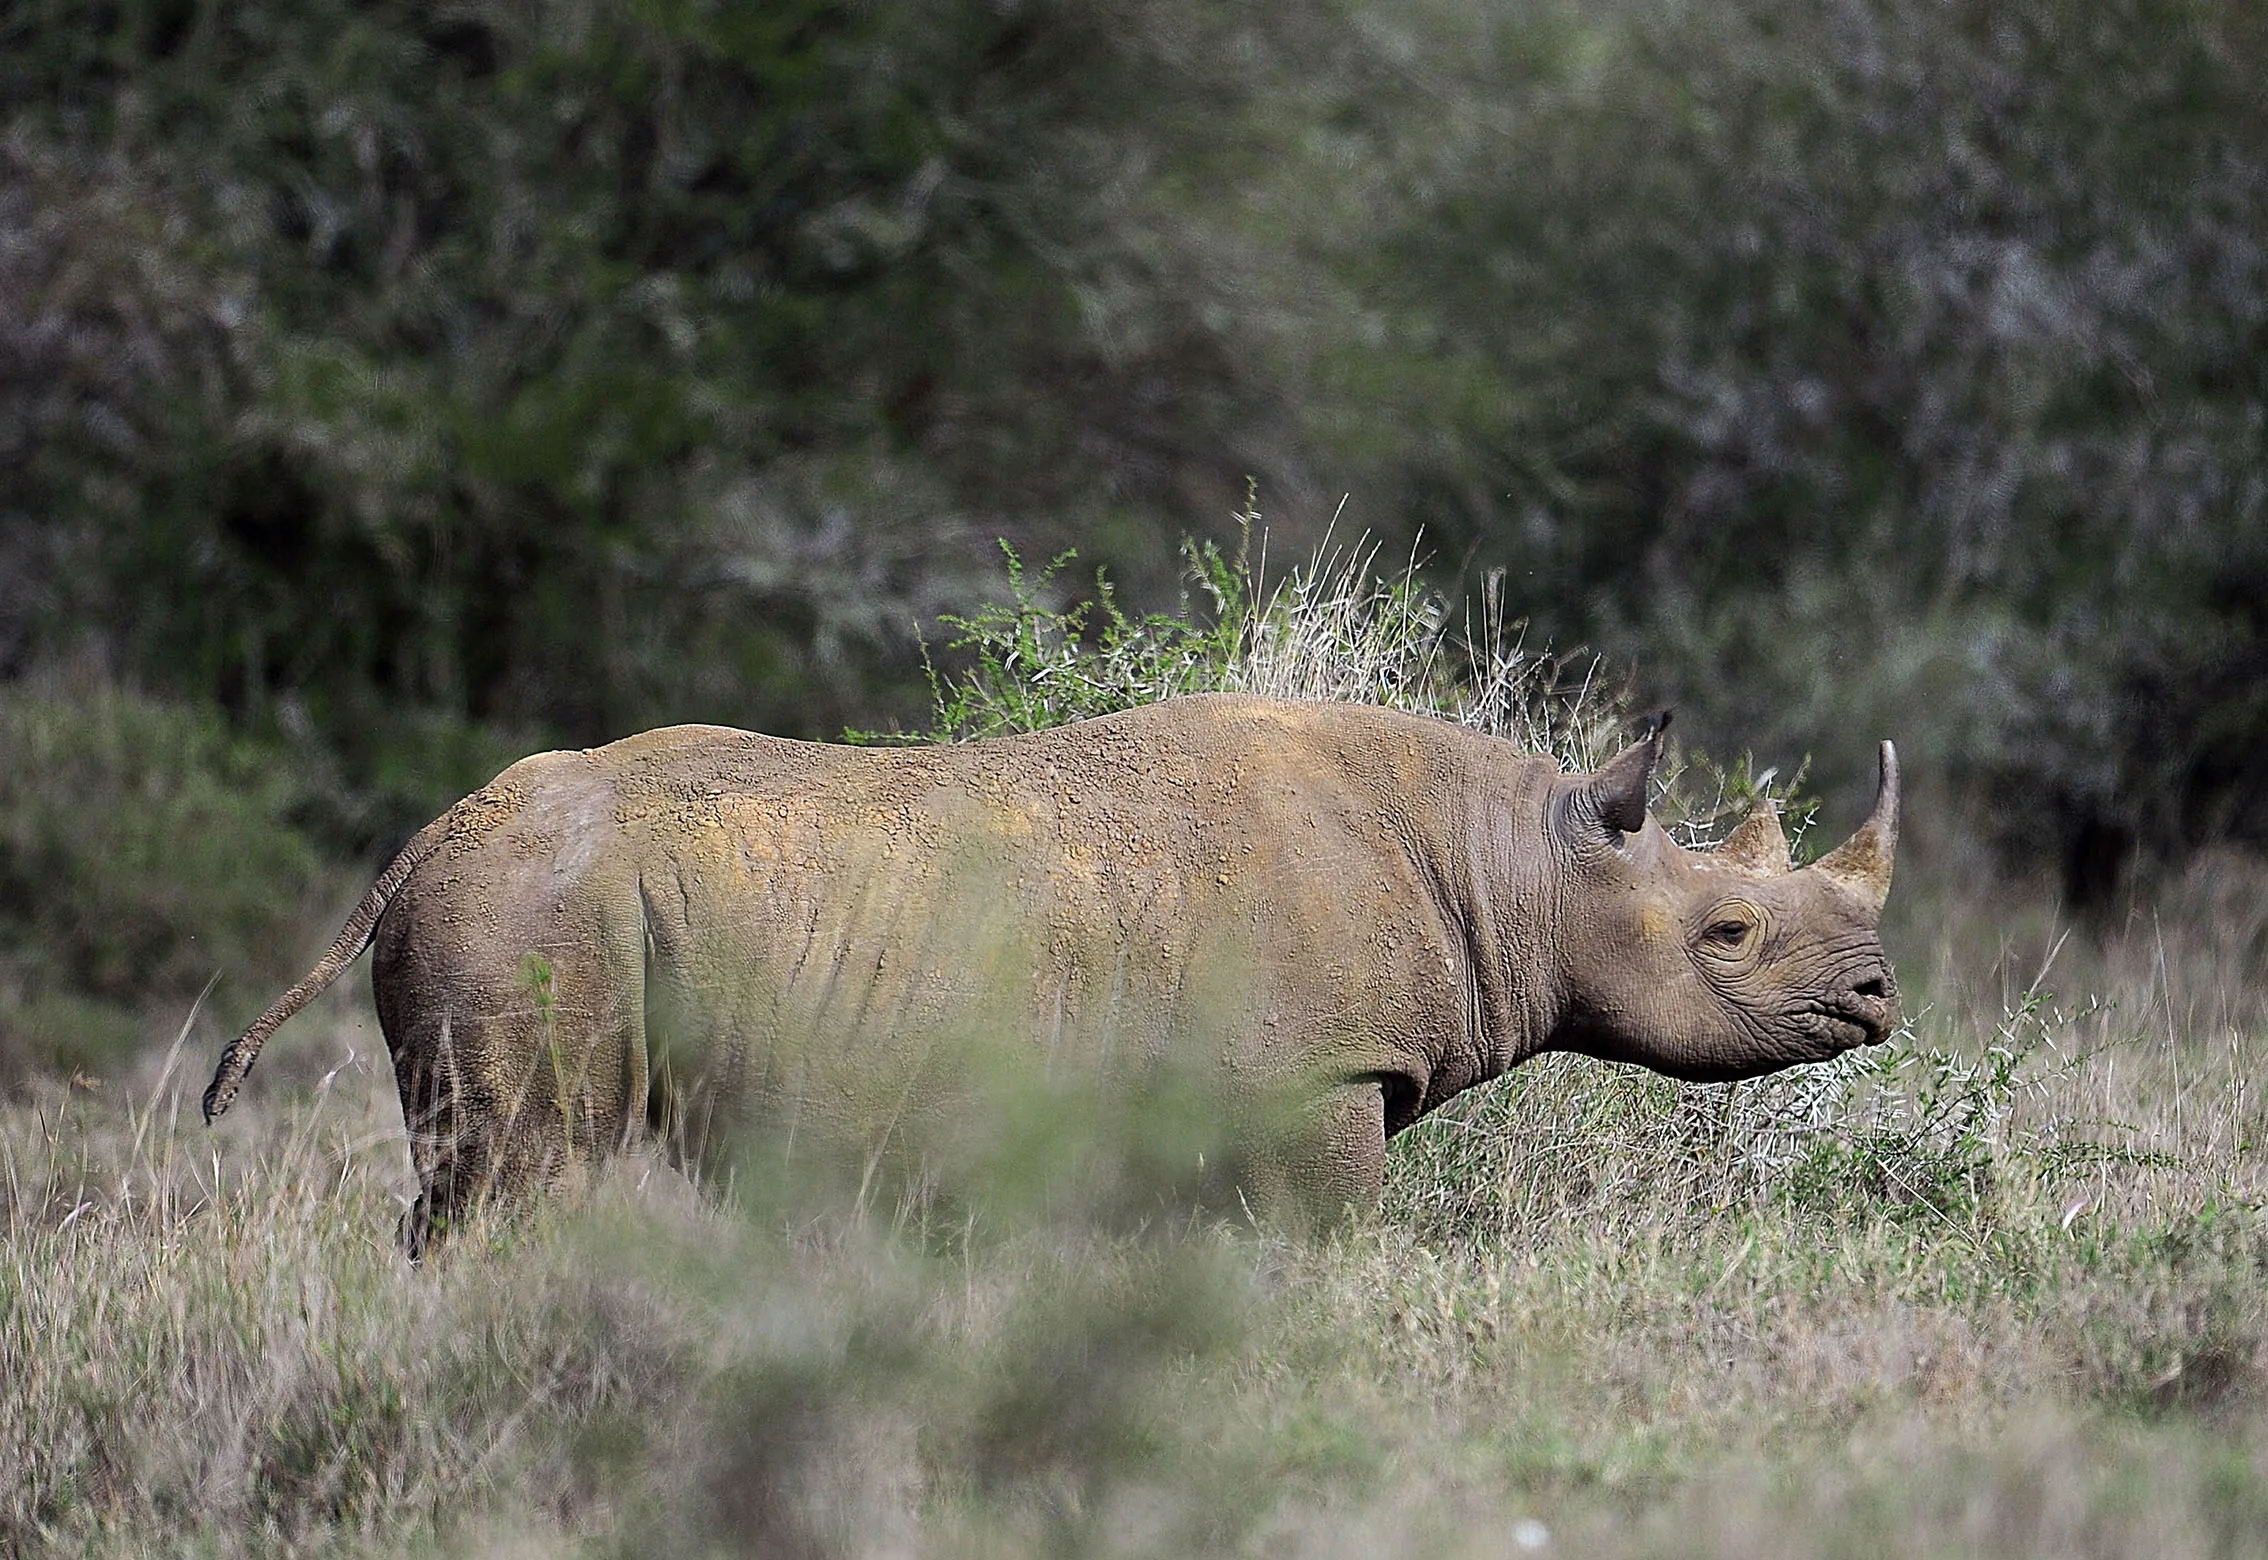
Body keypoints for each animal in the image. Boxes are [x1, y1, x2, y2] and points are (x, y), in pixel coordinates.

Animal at [202, 694, 1897, 1250]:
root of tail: (421, 840)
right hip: (533, 904)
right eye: (1729, 936)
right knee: (519, 1172)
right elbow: (1335, 1249)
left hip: (525, 894)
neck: (1521, 864)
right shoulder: (1318, 1080)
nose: (1879, 997)